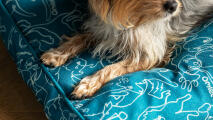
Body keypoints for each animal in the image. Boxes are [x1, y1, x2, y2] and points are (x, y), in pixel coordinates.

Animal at [40, 0, 213, 99]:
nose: (174, 6)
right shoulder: (103, 27)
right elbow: (80, 37)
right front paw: (57, 54)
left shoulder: (150, 53)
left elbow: (112, 68)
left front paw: (89, 83)